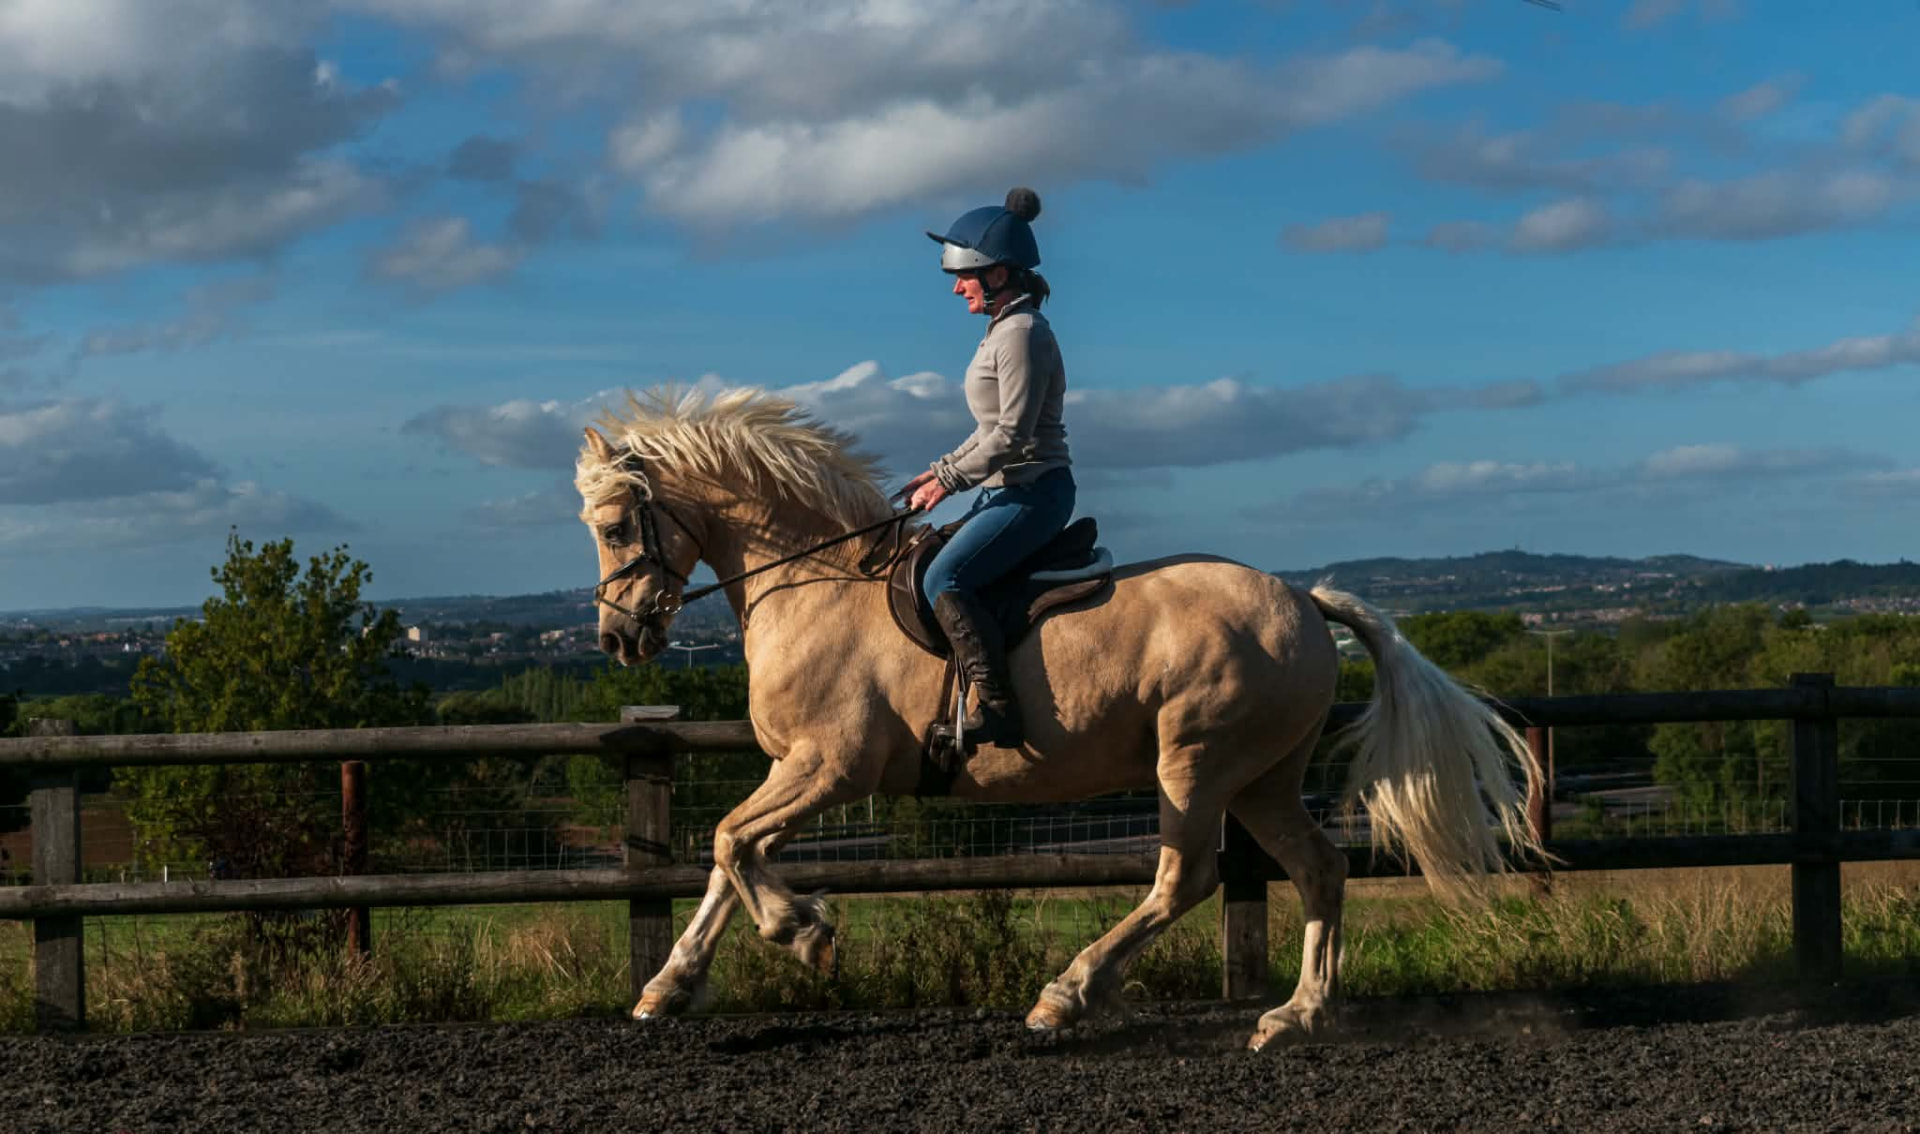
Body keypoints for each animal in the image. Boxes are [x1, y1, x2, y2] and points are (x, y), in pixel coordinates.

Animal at [575, 386, 1546, 1050]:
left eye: (618, 528)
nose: (619, 639)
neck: (814, 587)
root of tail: (1305, 601)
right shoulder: (798, 770)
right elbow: (725, 857)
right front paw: (669, 987)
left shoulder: (830, 767)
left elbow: (731, 843)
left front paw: (805, 935)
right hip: (1262, 776)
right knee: (1319, 868)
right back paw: (1296, 1015)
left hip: (1195, 761)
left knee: (1184, 878)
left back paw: (1066, 997)